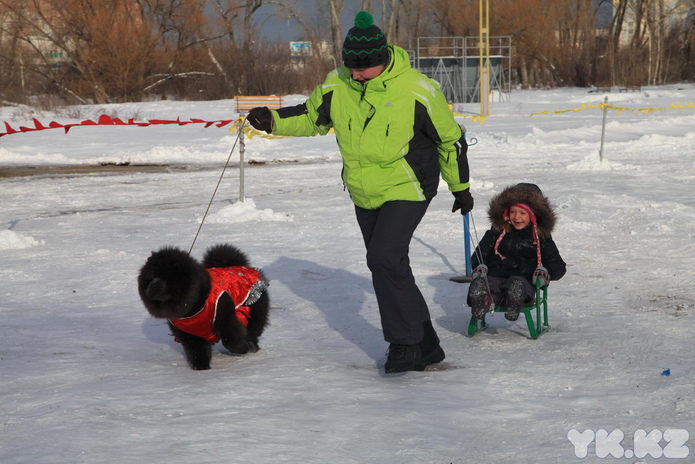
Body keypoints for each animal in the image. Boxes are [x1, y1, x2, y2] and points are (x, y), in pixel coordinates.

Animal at [138, 243, 270, 370]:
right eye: (151, 277)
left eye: (166, 279)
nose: (153, 285)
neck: (192, 309)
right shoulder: (188, 332)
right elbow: (197, 351)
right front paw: (201, 368)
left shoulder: (224, 316)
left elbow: (231, 340)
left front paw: (243, 348)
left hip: (254, 310)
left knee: (253, 331)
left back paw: (252, 347)